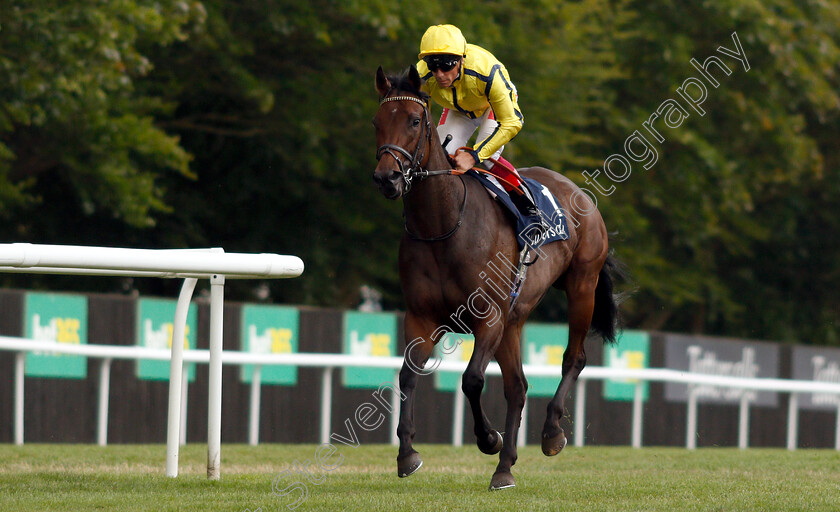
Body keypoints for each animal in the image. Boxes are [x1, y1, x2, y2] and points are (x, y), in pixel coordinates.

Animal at [370, 66, 620, 490]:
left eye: (415, 121)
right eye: (377, 122)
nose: (388, 177)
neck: (444, 224)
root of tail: (577, 192)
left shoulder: (489, 317)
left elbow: (471, 380)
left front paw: (489, 439)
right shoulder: (421, 317)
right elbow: (407, 376)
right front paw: (407, 454)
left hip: (581, 286)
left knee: (574, 357)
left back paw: (551, 433)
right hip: (515, 319)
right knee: (517, 386)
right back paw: (505, 469)